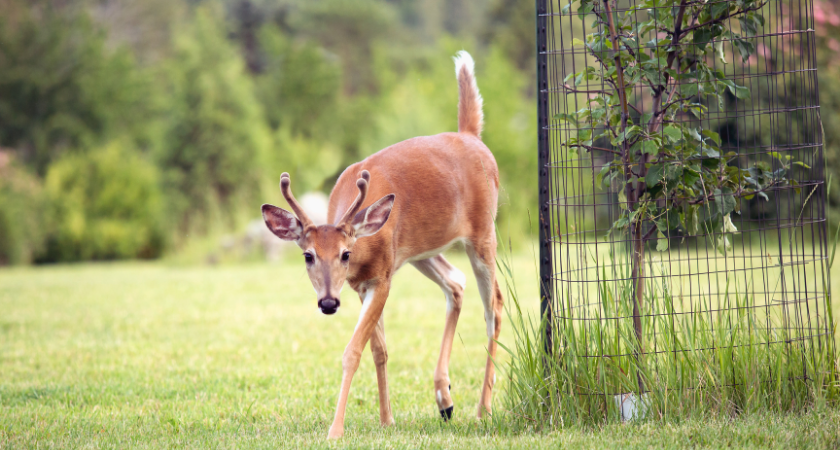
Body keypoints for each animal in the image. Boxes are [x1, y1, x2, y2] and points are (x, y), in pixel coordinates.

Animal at [260, 50, 502, 440]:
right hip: (422, 250)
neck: (362, 249)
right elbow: (379, 349)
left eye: (345, 253)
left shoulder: (383, 276)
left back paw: (483, 409)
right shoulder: (361, 284)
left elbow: (353, 350)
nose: (328, 302)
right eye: (308, 256)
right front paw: (387, 419)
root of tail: (471, 135)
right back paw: (444, 399)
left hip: (482, 232)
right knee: (456, 282)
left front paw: (336, 430)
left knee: (494, 305)